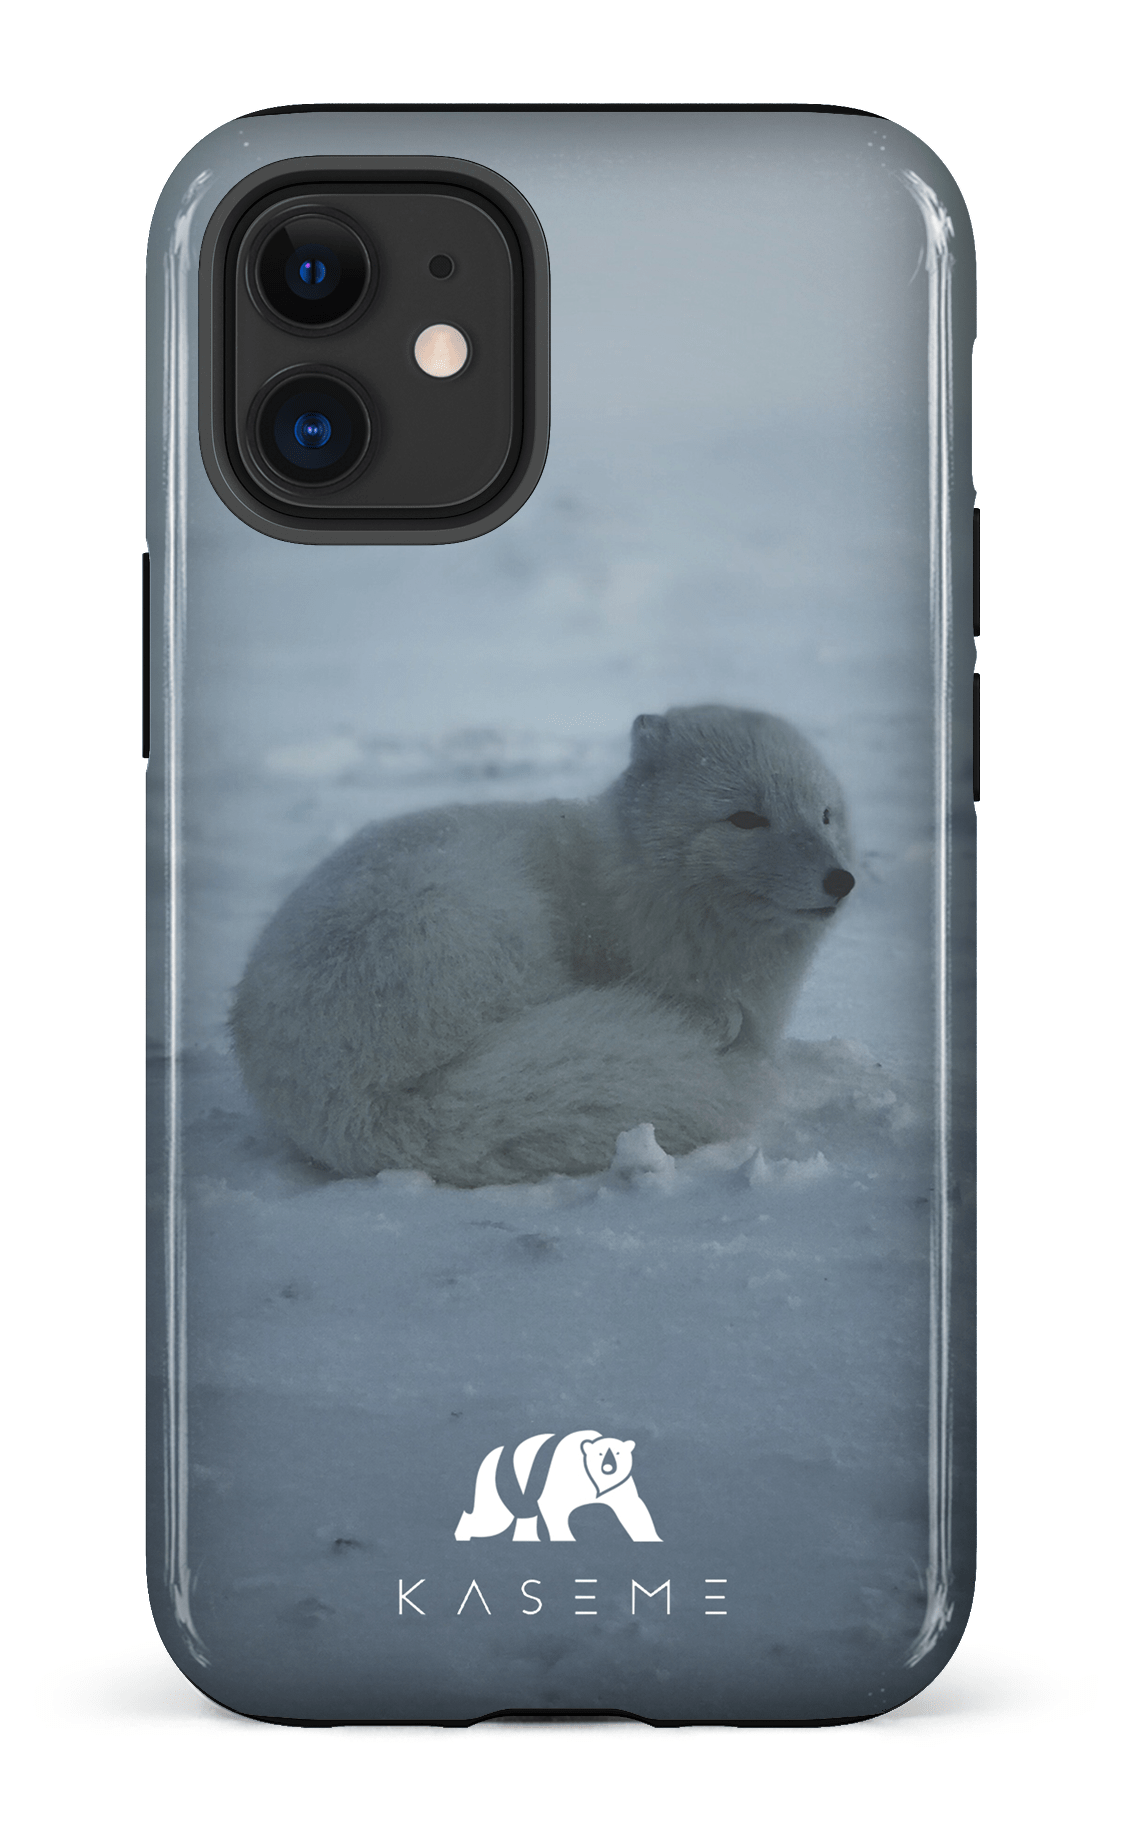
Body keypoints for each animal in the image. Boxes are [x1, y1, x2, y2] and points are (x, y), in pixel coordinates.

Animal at [231, 705, 855, 1186]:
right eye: (745, 818)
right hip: (482, 921)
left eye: (825, 814)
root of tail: (355, 1105)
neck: (636, 882)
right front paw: (714, 1021)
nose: (842, 880)